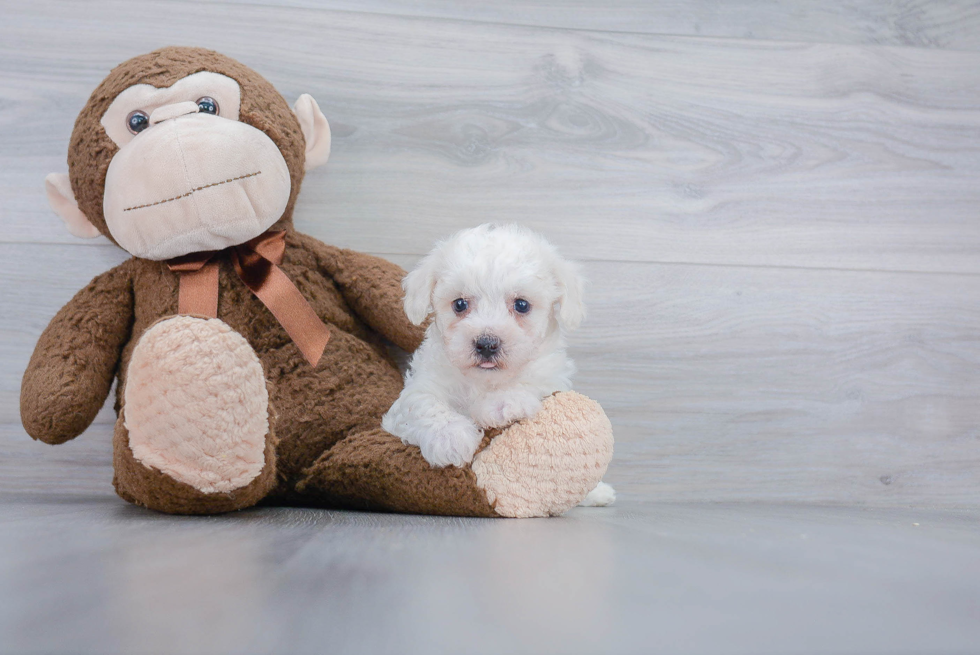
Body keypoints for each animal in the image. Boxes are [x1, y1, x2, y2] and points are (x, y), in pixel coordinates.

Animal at [382, 224, 612, 508]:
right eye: (459, 304)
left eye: (521, 305)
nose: (486, 344)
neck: (483, 381)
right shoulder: (417, 391)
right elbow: (423, 404)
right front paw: (450, 438)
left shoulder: (548, 378)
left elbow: (528, 383)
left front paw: (502, 404)